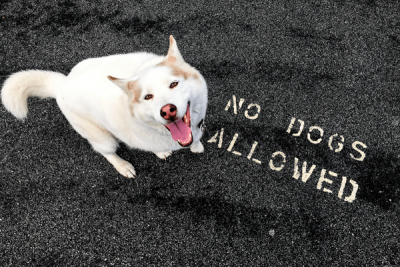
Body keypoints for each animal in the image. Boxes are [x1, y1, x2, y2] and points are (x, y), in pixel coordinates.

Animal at [0, 35, 206, 178]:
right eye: (147, 97)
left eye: (173, 84)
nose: (167, 111)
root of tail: (62, 85)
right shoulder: (137, 137)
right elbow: (152, 146)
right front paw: (161, 151)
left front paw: (196, 146)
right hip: (101, 138)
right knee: (106, 153)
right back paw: (122, 165)